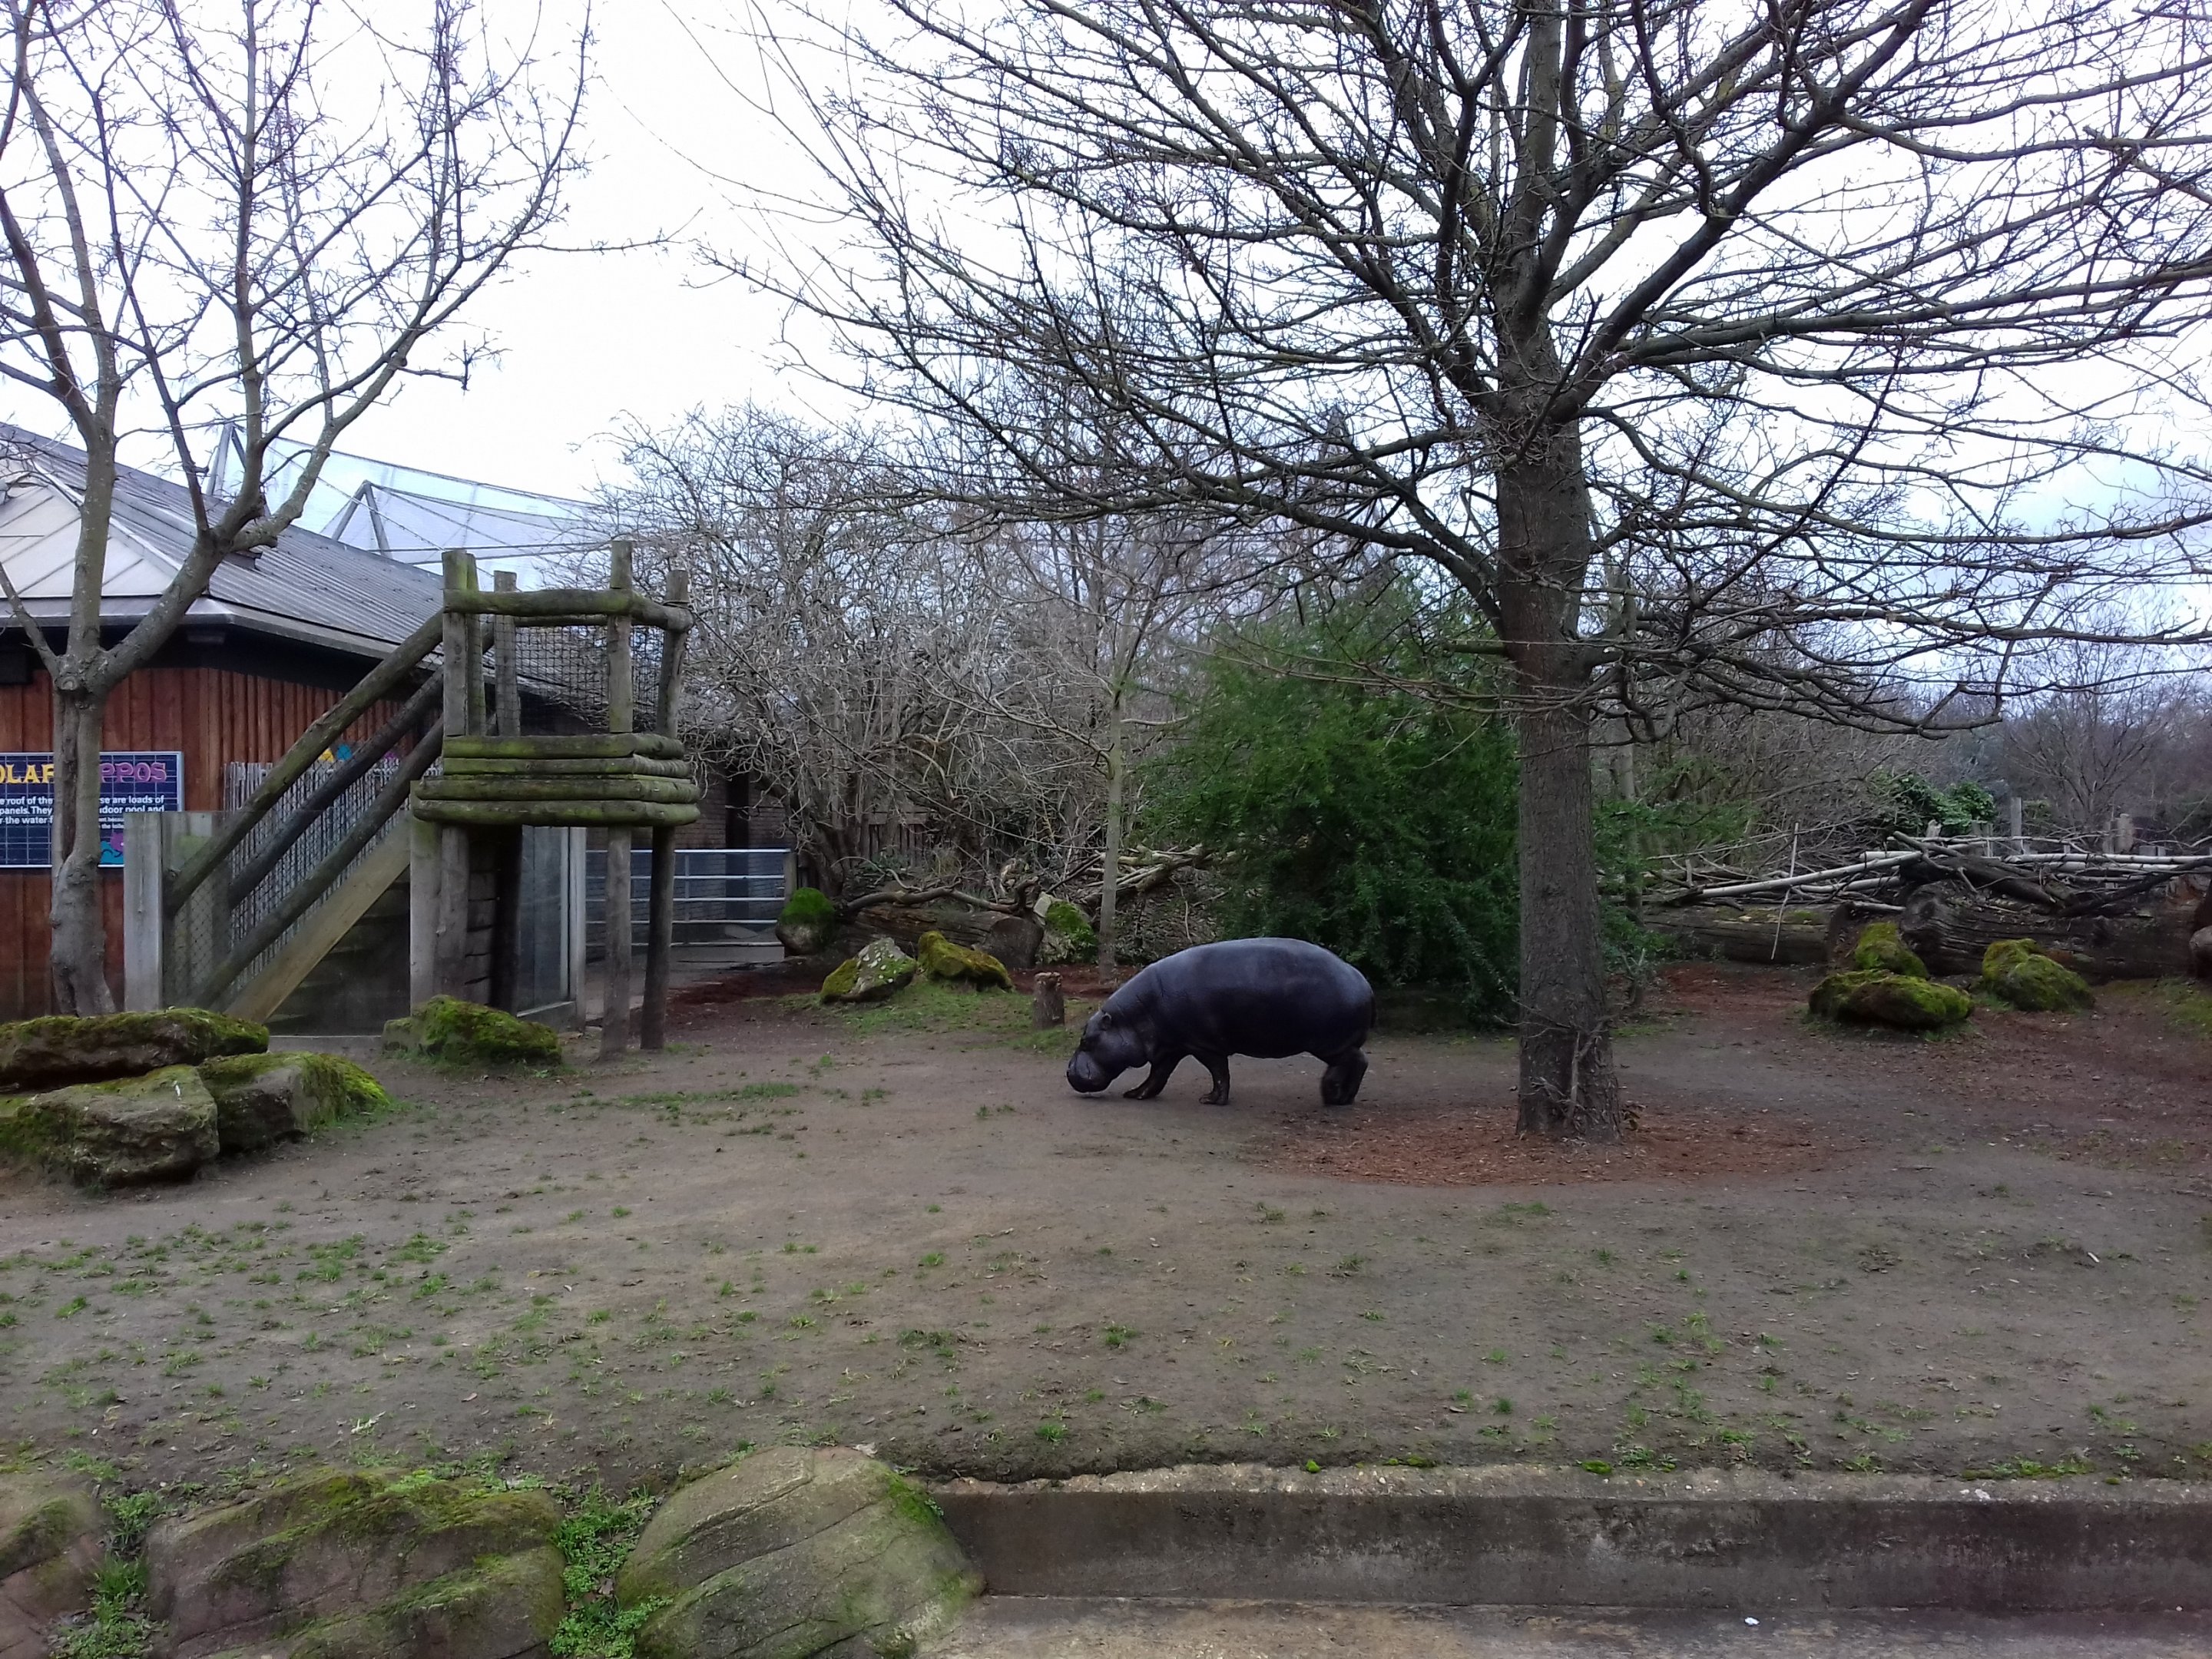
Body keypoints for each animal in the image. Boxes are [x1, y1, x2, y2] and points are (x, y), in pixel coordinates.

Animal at [1066, 938, 1373, 1106]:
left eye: (1086, 1040)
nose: (1068, 1071)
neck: (1133, 1016)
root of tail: (1364, 983)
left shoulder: (1203, 1045)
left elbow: (1219, 1072)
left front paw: (1211, 1101)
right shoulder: (1171, 1047)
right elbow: (1157, 1076)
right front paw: (1135, 1094)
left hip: (1329, 1043)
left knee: (1353, 1062)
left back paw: (1331, 1095)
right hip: (1335, 1043)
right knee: (1358, 1062)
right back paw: (1342, 1099)